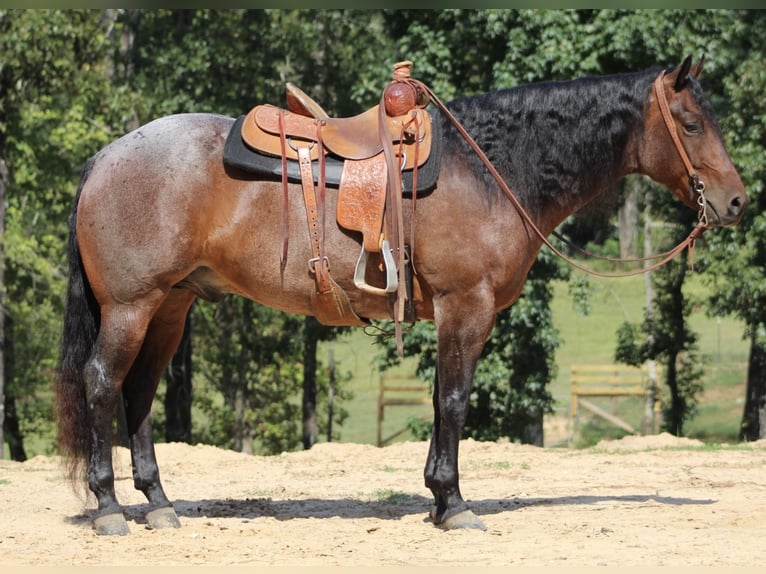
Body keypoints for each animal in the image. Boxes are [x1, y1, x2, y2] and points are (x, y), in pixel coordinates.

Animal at [55, 56, 752, 536]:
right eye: (692, 123)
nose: (737, 202)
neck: (491, 169)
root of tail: (105, 157)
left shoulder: (459, 312)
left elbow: (446, 400)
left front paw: (438, 498)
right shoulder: (465, 306)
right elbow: (454, 399)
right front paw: (454, 503)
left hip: (170, 306)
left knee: (139, 393)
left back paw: (159, 505)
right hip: (131, 307)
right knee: (102, 383)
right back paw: (110, 507)